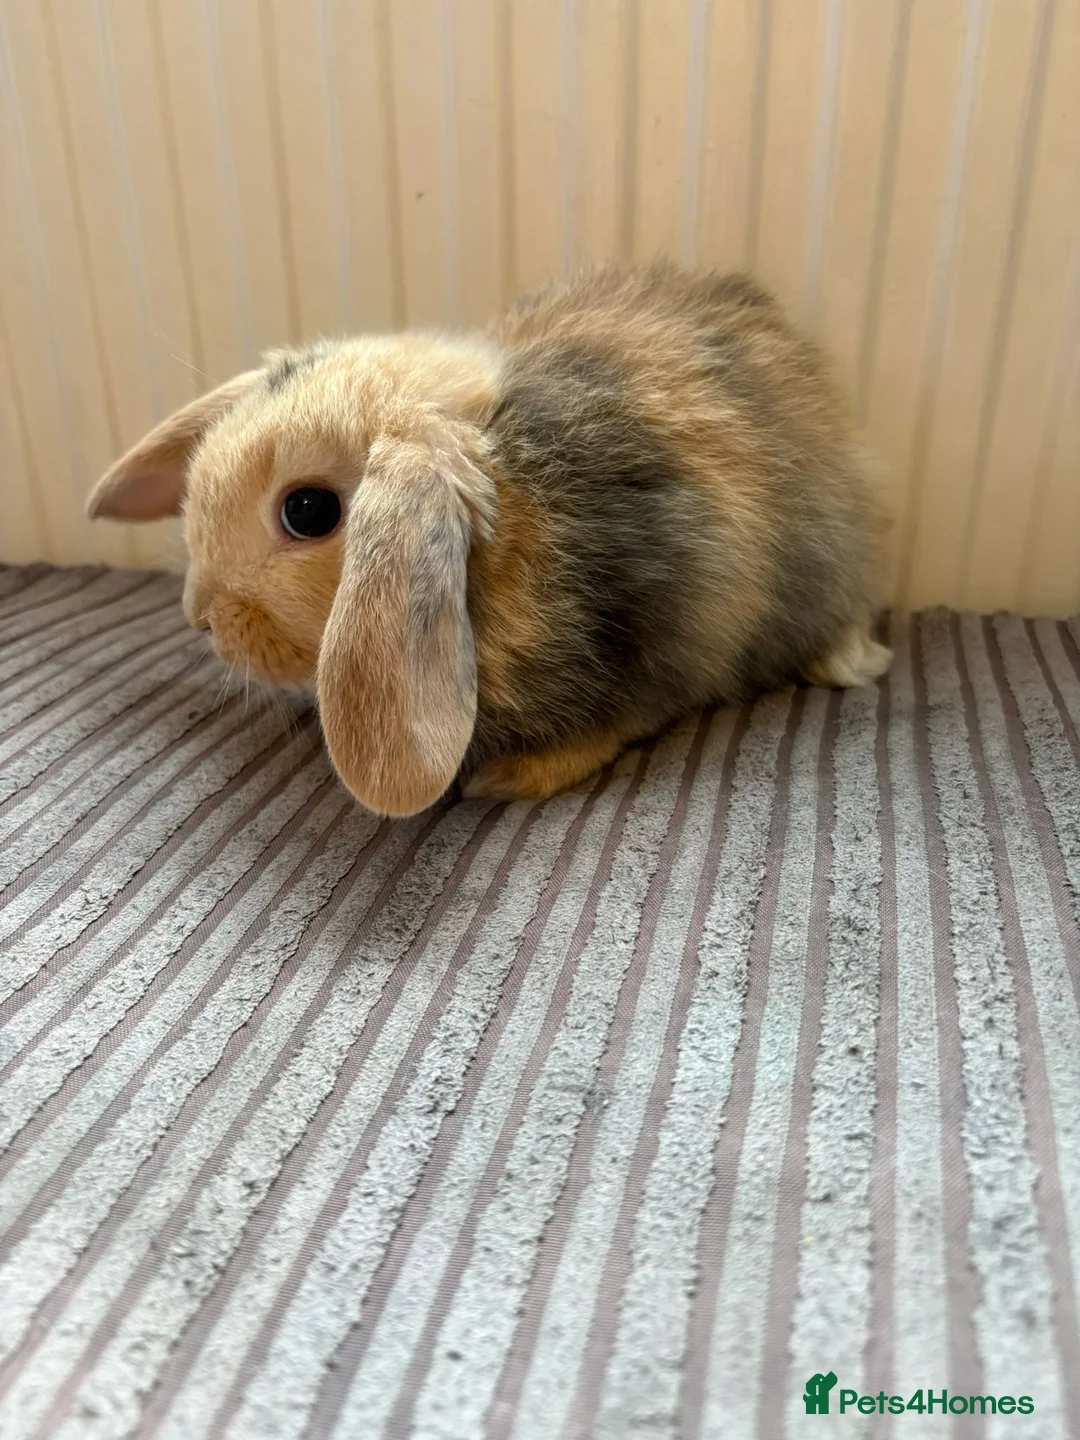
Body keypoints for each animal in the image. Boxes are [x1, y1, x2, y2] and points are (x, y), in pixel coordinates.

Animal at [87, 263, 891, 818]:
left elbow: (620, 717)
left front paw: (508, 780)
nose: (200, 615)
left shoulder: (658, 633)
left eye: (309, 511)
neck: (514, 505)